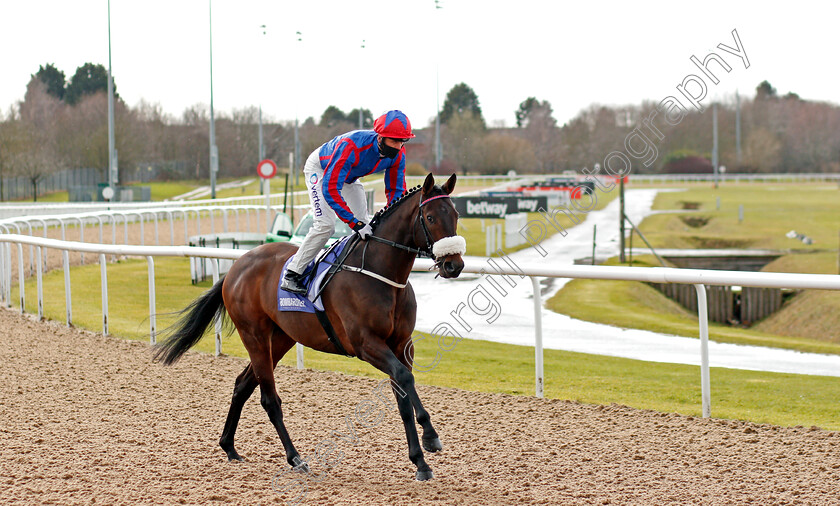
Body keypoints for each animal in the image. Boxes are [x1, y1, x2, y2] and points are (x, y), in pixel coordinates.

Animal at [154, 172, 462, 480]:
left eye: (456, 214)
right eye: (431, 217)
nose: (454, 265)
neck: (379, 273)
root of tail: (235, 268)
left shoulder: (401, 343)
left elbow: (403, 392)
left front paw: (423, 455)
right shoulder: (366, 344)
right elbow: (404, 379)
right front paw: (427, 444)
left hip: (280, 338)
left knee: (243, 384)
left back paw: (229, 446)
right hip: (254, 335)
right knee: (269, 398)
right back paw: (295, 457)